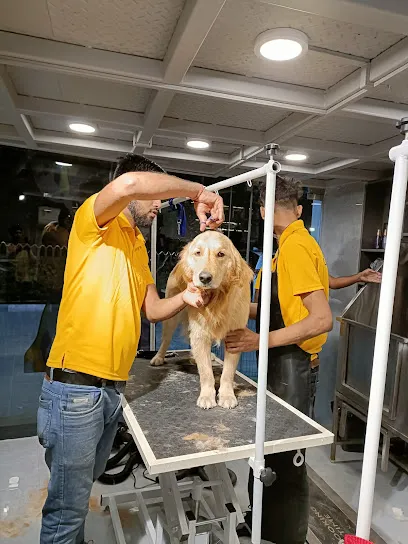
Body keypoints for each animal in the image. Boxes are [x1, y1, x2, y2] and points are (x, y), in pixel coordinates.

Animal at [151, 230, 252, 408]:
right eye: (198, 253)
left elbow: (227, 373)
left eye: (221, 254)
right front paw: (207, 396)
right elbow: (206, 373)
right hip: (171, 319)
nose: (204, 277)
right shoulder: (200, 333)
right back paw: (159, 357)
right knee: (166, 340)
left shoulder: (235, 337)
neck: (217, 298)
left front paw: (227, 395)